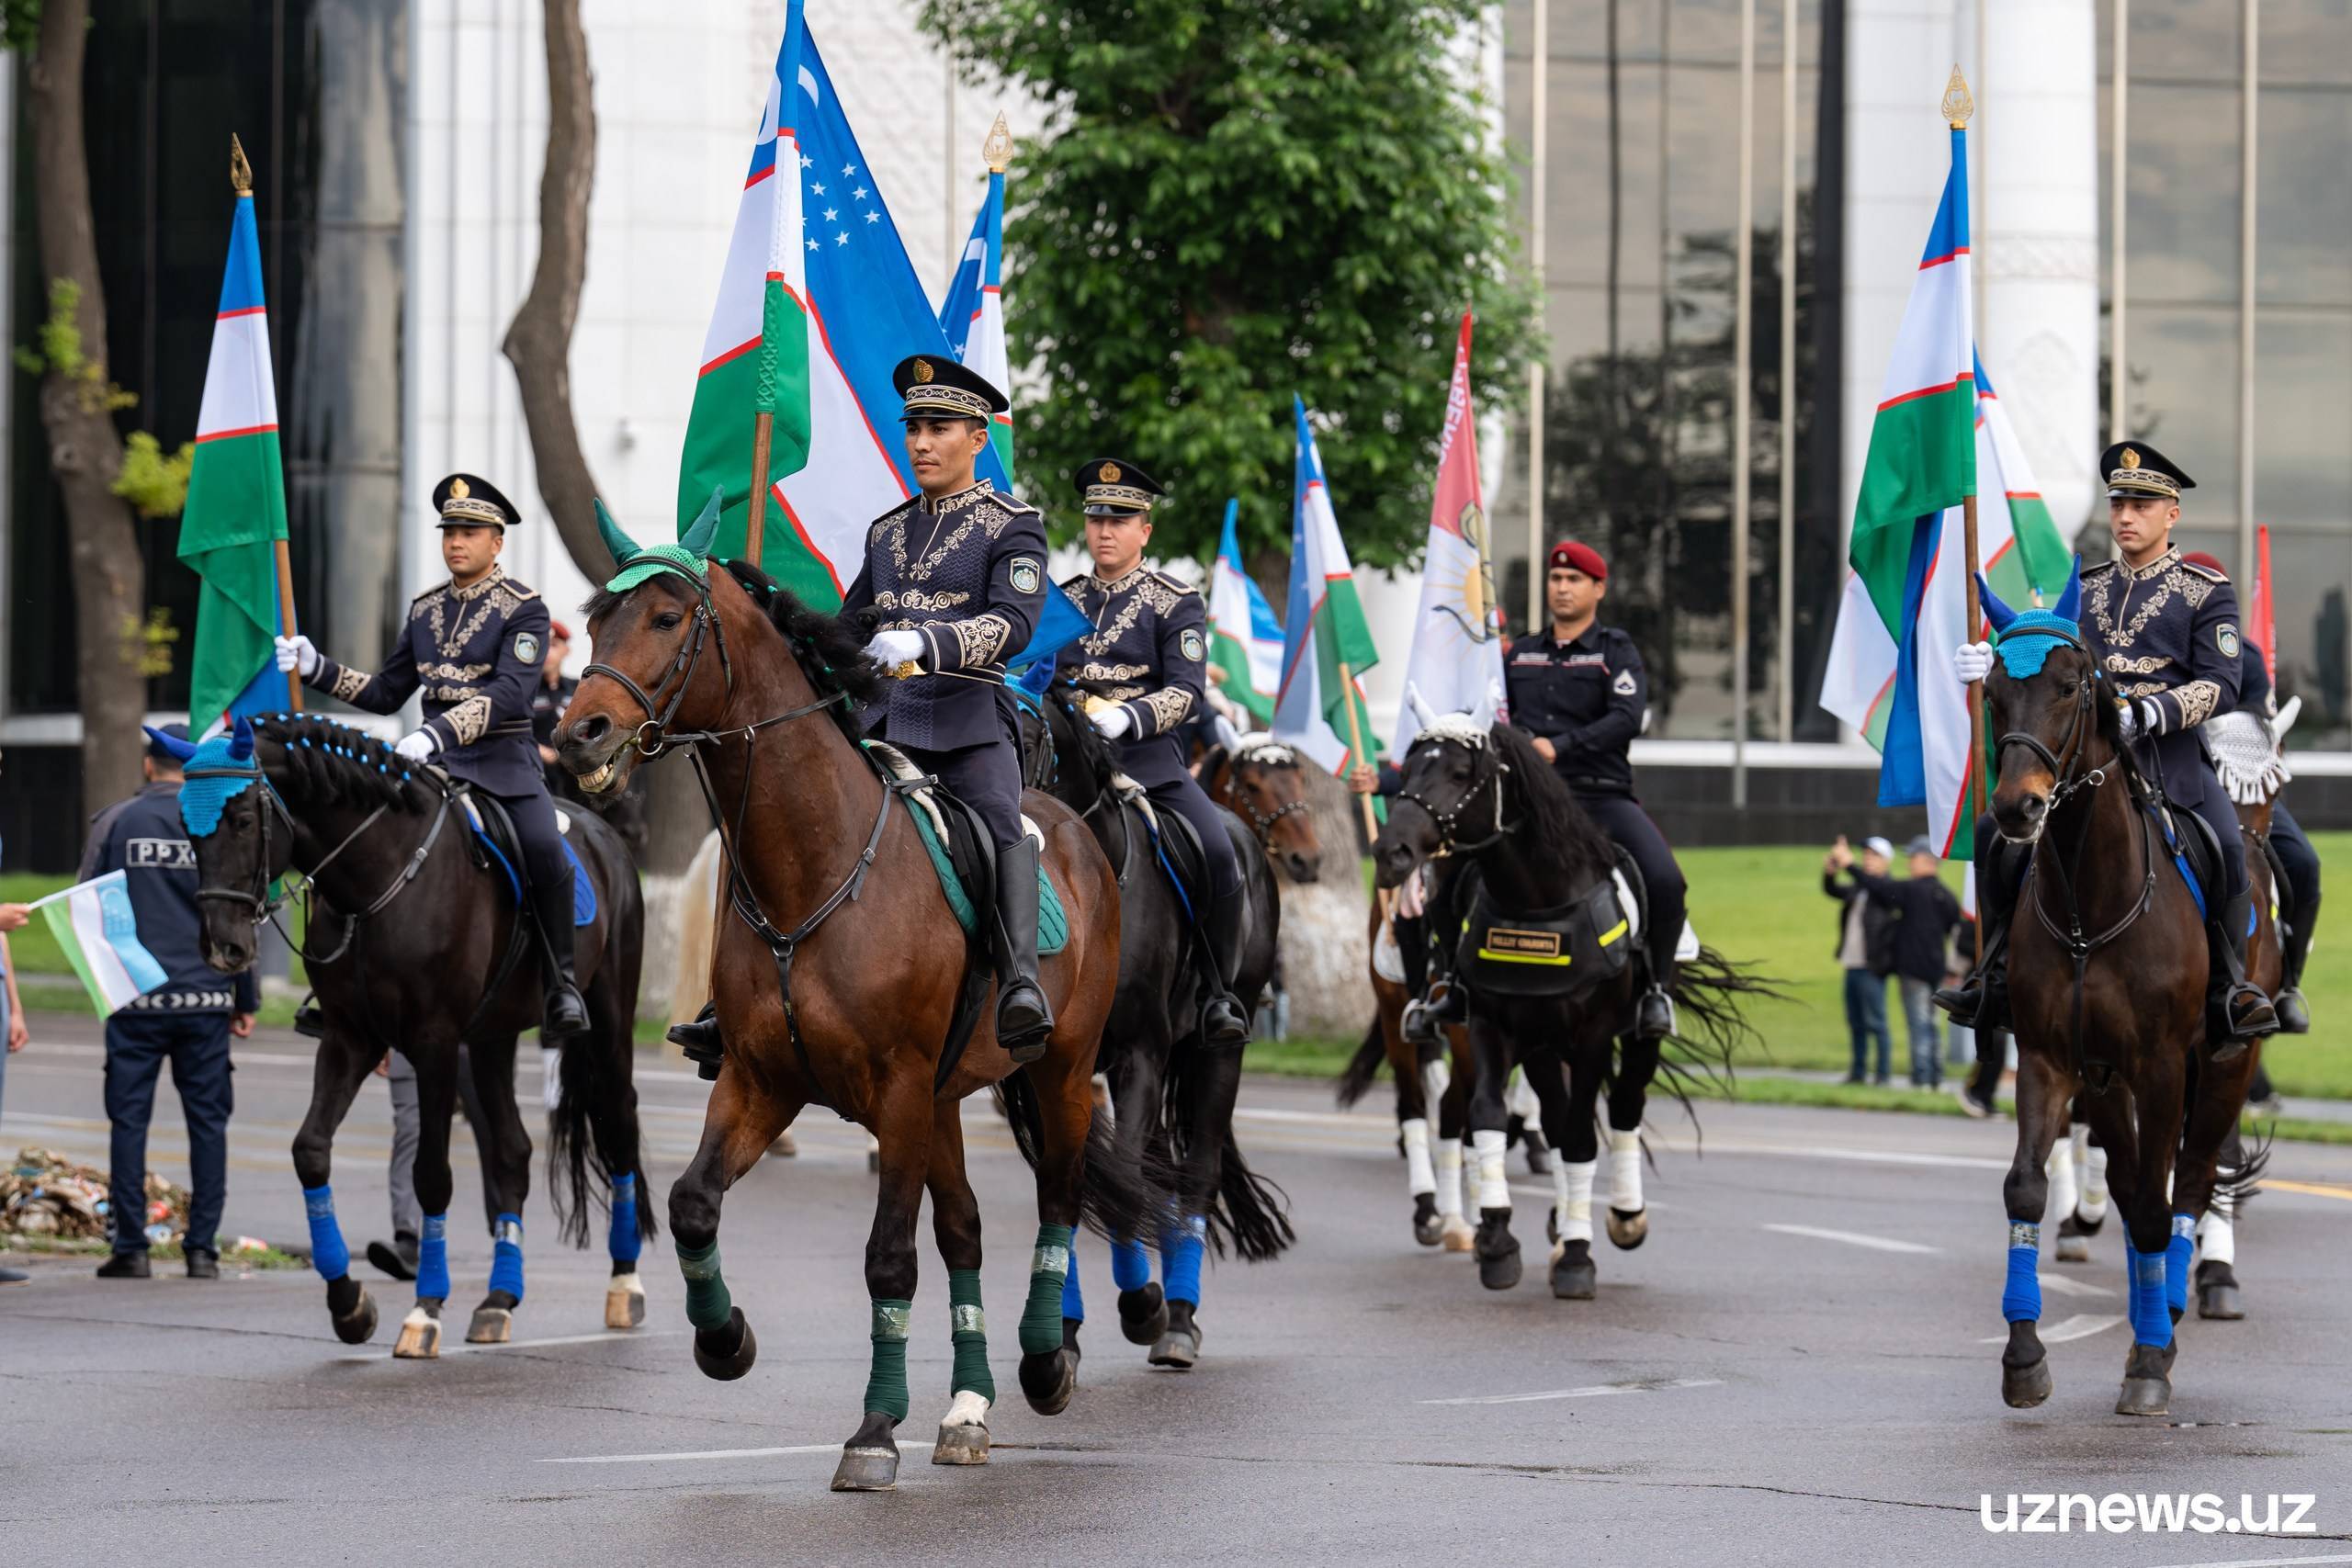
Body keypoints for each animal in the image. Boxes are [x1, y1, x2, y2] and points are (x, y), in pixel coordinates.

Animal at [171, 719, 653, 1354]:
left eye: (245, 820)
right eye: (186, 826)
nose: (222, 947)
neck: (375, 879)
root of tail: (608, 837)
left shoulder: (434, 1044)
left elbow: (431, 1174)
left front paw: (425, 1311)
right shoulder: (350, 1039)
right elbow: (310, 1152)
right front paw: (349, 1304)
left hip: (608, 1020)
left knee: (618, 1127)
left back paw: (625, 1285)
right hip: (492, 1038)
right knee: (512, 1152)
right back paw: (498, 1299)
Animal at [552, 517, 1138, 1495]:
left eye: (667, 617)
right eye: (596, 618)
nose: (578, 734)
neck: (811, 867)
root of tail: (1072, 827)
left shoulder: (896, 1091)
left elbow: (888, 1256)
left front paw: (873, 1430)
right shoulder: (761, 1080)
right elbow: (693, 1202)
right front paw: (725, 1340)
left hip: (1057, 1069)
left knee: (1057, 1193)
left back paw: (1043, 1362)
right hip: (944, 1098)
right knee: (966, 1229)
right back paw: (968, 1408)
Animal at [1021, 682, 1298, 1363]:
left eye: (1027, 733)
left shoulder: (1138, 1057)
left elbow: (1117, 1177)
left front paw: (1141, 1305)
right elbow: (1071, 1180)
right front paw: (1063, 1331)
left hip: (1219, 1051)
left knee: (1195, 1173)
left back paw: (1177, 1317)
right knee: (1157, 1170)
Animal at [1363, 715, 1769, 1297]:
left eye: (1461, 773)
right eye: (1410, 765)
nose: (1391, 853)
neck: (1537, 902)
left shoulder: (1593, 1035)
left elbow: (1580, 1135)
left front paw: (1577, 1255)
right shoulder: (1492, 1026)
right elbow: (1489, 1116)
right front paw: (1498, 1237)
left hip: (1636, 1034)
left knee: (1623, 1108)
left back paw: (1623, 1217)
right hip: (1518, 1042)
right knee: (1468, 1110)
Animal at [1984, 592, 2257, 1419]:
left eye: (2072, 686)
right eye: (1990, 692)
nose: (2017, 808)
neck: (2089, 903)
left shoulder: (2162, 1064)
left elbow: (2158, 1204)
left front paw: (2148, 1364)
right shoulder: (2051, 1058)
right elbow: (2027, 1184)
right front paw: (2025, 1355)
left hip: (2223, 1068)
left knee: (2189, 1181)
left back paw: (2166, 1312)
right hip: (2105, 1084)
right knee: (2138, 1180)